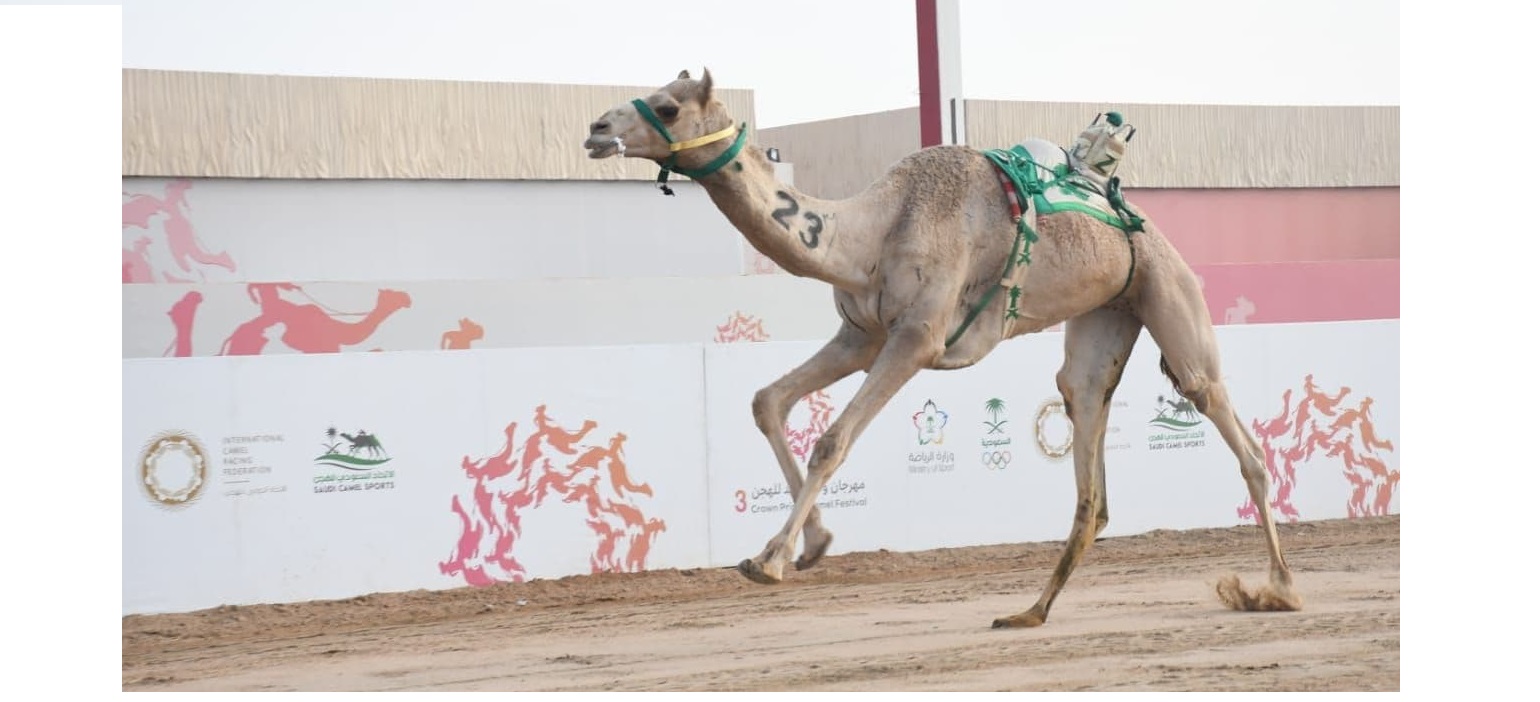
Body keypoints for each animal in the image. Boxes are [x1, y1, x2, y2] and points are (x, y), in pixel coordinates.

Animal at [579, 68, 1299, 628]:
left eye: (669, 106)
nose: (595, 128)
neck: (873, 230)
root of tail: (1134, 217)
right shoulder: (861, 335)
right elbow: (767, 401)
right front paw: (814, 545)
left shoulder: (916, 339)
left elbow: (833, 440)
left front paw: (768, 560)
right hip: (1105, 315)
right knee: (1085, 426)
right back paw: (1029, 611)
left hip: (1169, 293)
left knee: (1231, 426)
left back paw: (1277, 590)